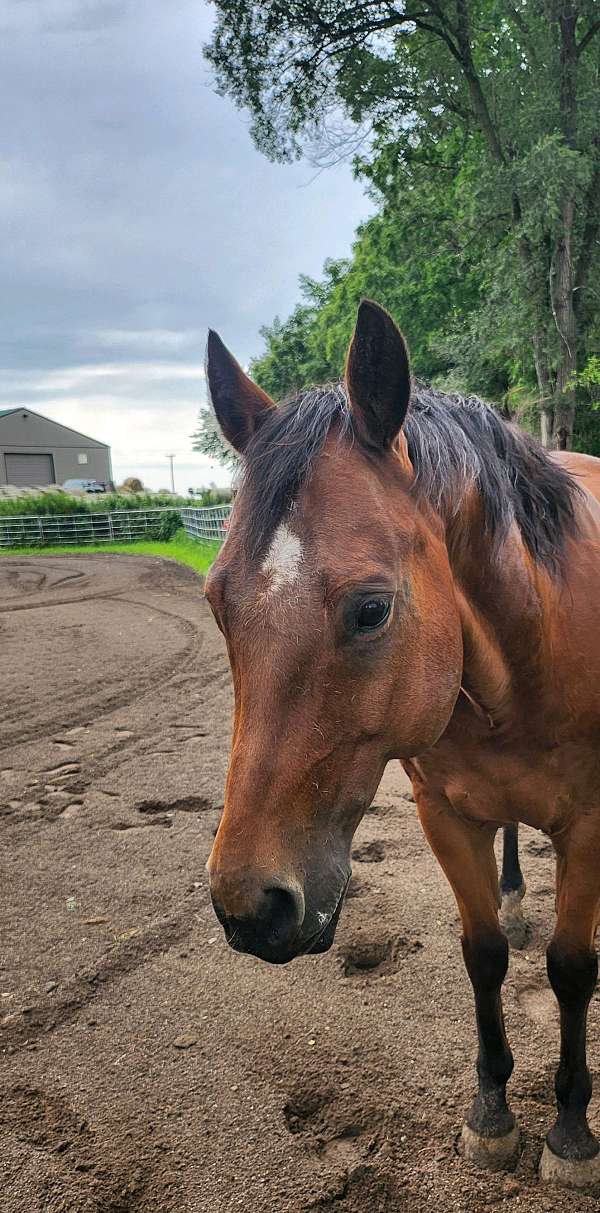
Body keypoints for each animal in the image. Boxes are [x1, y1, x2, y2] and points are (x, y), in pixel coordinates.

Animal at [204, 303, 600, 1193]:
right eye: (215, 602)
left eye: (371, 609)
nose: (250, 908)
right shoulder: (443, 813)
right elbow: (484, 953)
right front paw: (492, 1114)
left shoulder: (594, 824)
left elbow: (571, 966)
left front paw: (570, 1130)